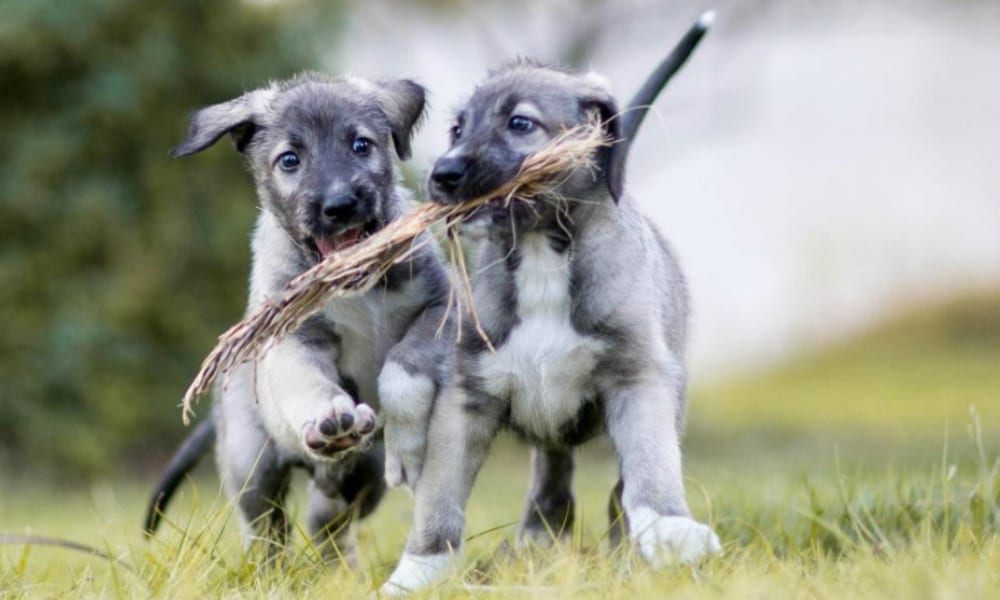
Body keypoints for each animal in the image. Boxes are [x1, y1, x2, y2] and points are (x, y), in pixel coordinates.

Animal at [144, 74, 450, 564]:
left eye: (361, 144)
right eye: (290, 160)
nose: (340, 204)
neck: (359, 289)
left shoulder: (440, 303)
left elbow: (409, 355)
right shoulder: (293, 341)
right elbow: (309, 383)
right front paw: (329, 415)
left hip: (369, 476)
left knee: (329, 513)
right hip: (250, 461)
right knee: (267, 526)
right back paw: (268, 566)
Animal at [382, 15, 720, 596]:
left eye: (520, 123)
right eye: (456, 130)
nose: (441, 175)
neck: (542, 248)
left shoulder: (638, 379)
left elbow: (649, 467)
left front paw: (669, 528)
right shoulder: (465, 395)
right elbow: (439, 497)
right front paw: (416, 573)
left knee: (612, 491)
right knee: (552, 481)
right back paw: (538, 546)